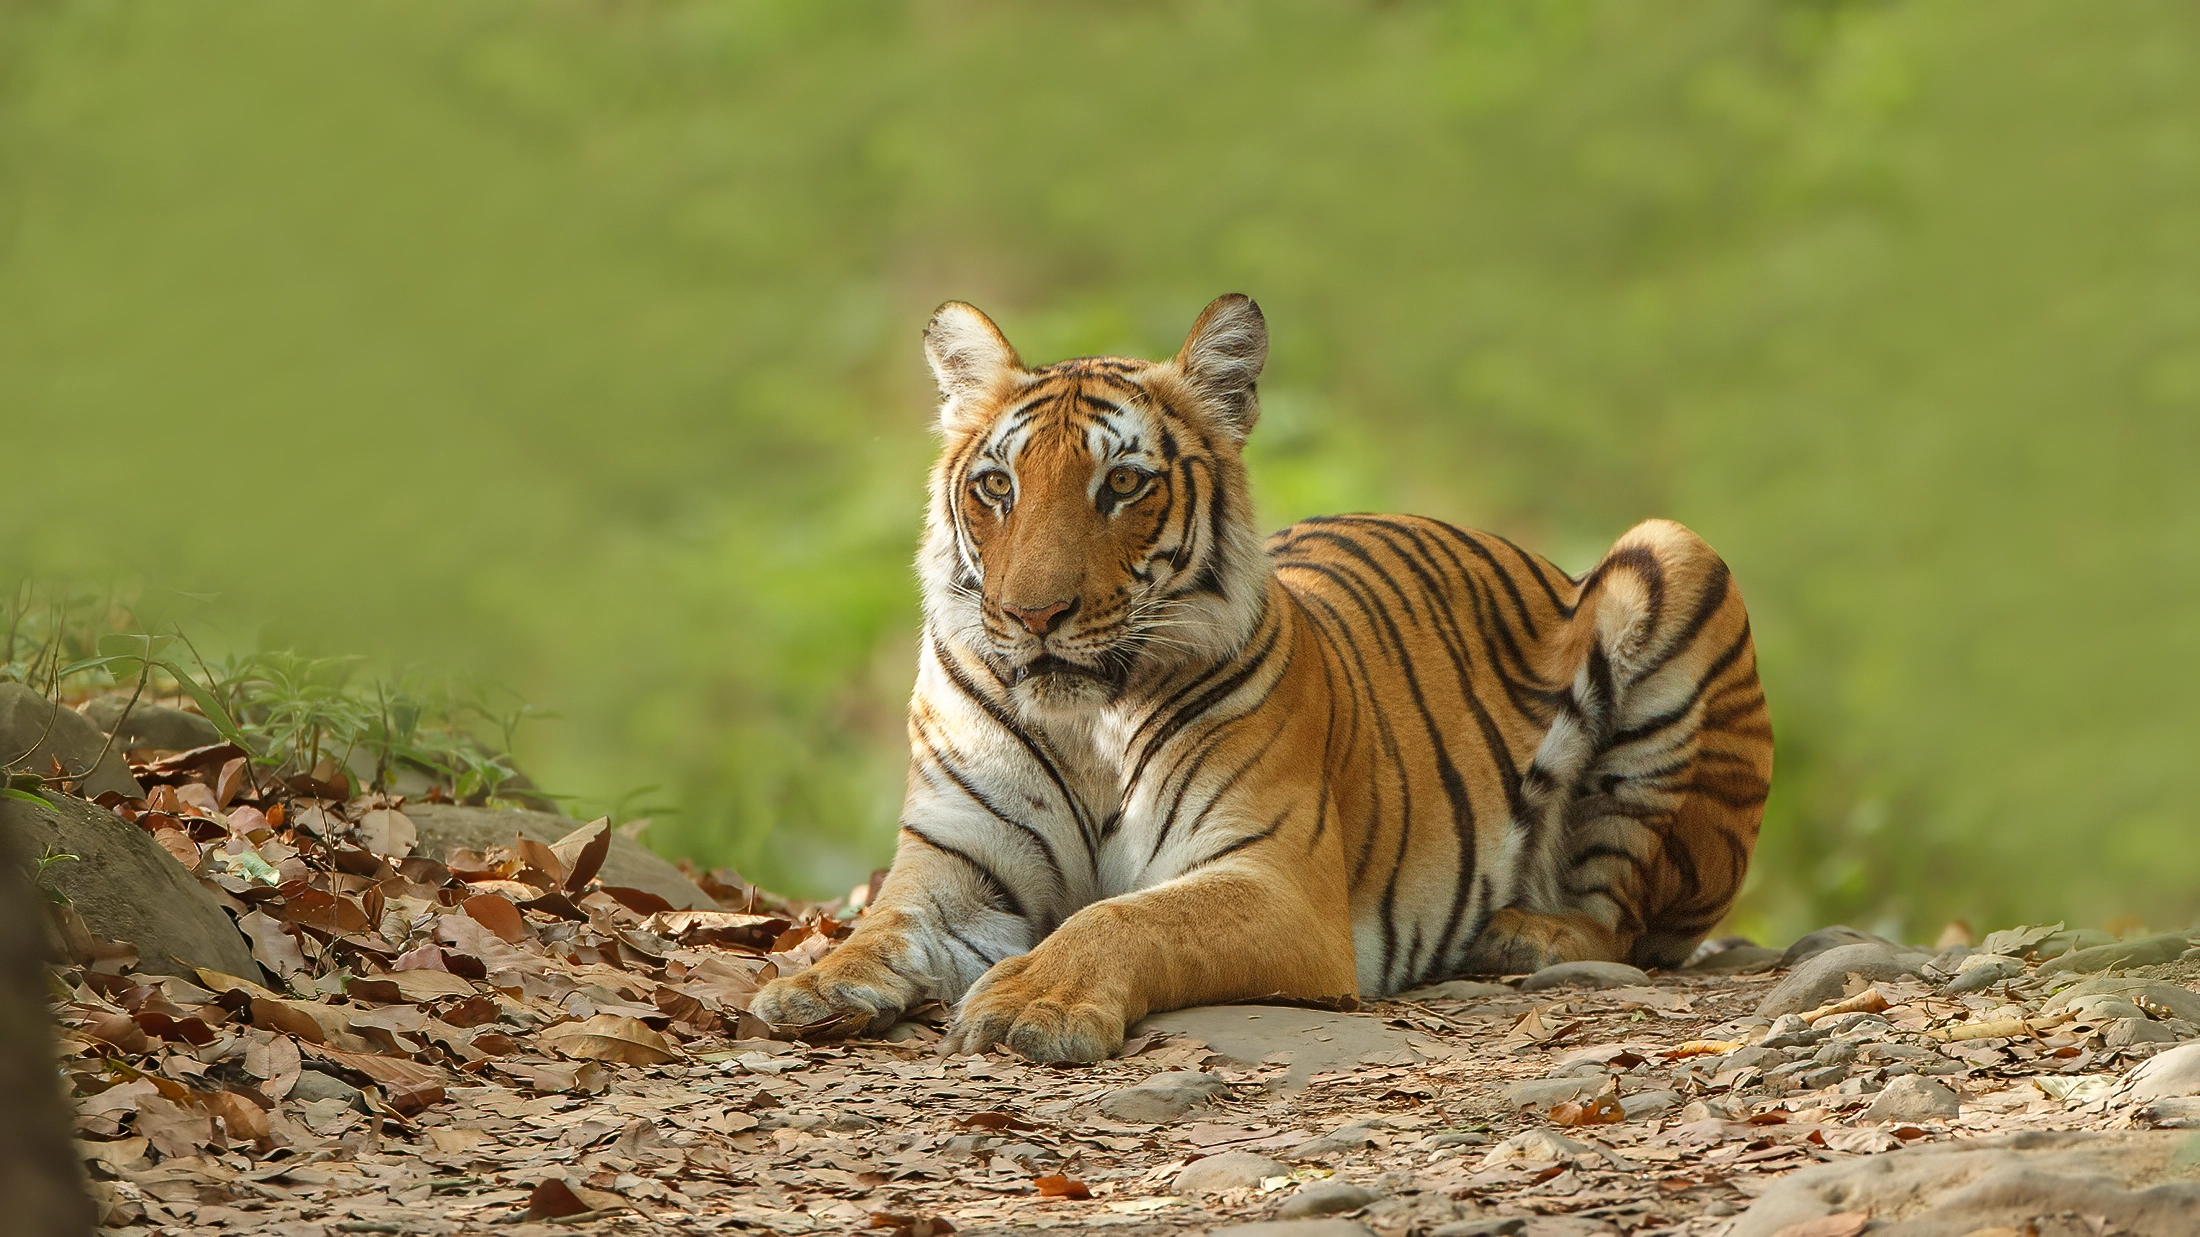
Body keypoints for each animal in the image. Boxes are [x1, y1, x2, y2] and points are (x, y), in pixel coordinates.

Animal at [751, 294, 1773, 1063]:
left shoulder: (1271, 878)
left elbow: (1126, 918)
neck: (1089, 727)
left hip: (1672, 559)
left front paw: (1034, 1001)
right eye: (998, 485)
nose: (1035, 616)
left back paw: (1528, 931)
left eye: (1122, 485)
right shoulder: (956, 868)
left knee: (1622, 918)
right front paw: (811, 983)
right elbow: (884, 924)